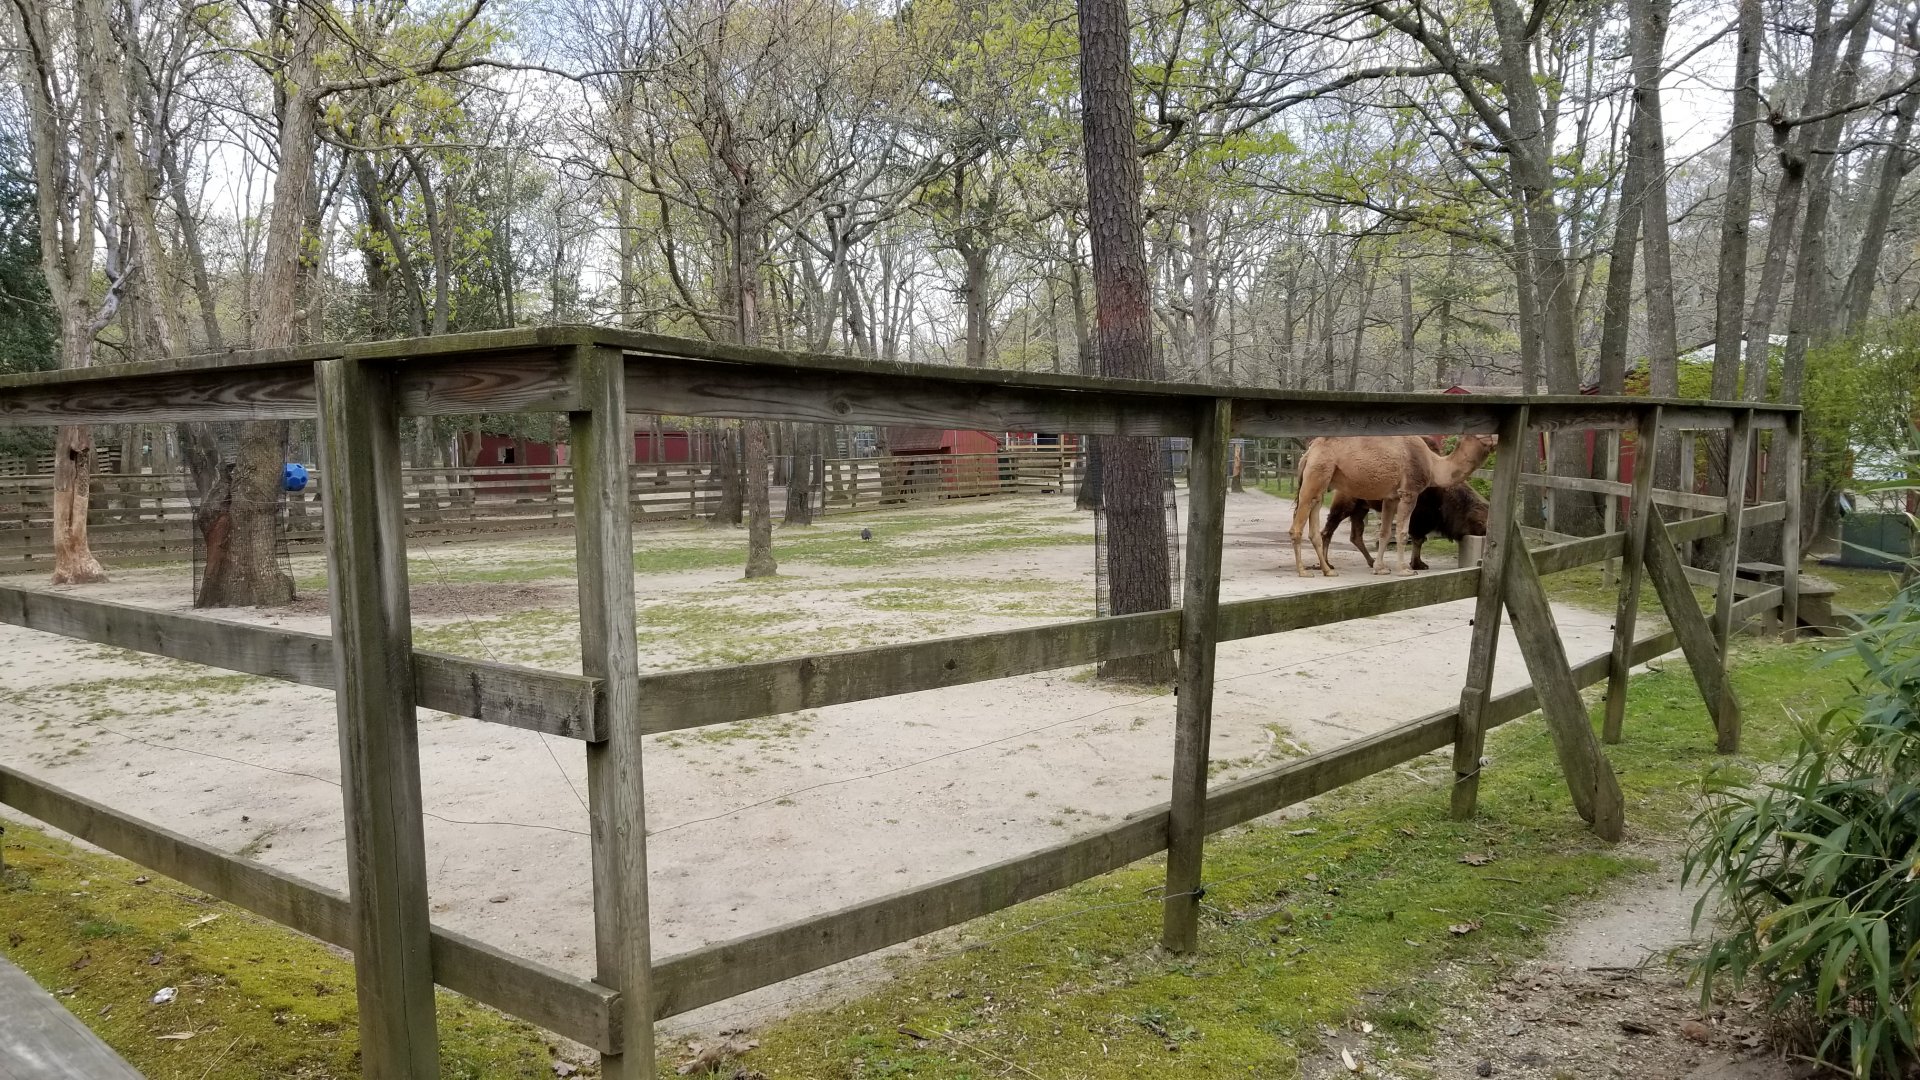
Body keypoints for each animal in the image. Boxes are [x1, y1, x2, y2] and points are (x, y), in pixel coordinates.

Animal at [1289, 434, 1498, 577]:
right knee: (1301, 527)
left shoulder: (1391, 498)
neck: (1433, 464)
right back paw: (1305, 571)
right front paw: (1406, 569)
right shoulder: (1410, 492)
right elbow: (1405, 533)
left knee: (1325, 528)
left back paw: (1328, 569)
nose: (1497, 439)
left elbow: (1385, 532)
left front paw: (1380, 568)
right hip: (1321, 478)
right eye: (1484, 434)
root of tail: (1308, 453)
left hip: (1326, 484)